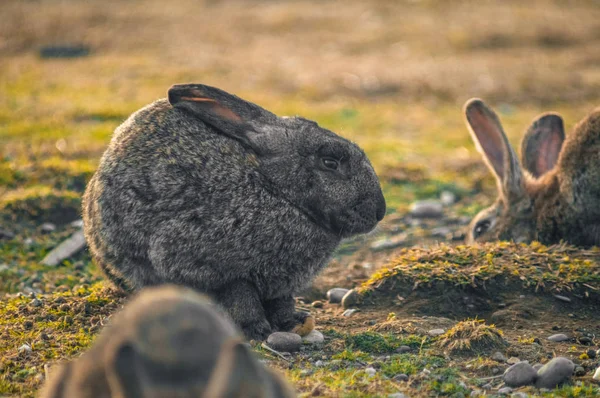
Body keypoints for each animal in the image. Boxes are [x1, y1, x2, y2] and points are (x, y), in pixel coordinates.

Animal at [82, 84, 386, 338]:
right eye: (330, 162)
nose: (379, 211)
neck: (277, 190)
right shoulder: (213, 268)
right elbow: (242, 297)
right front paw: (257, 330)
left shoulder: (281, 285)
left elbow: (282, 302)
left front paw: (294, 323)